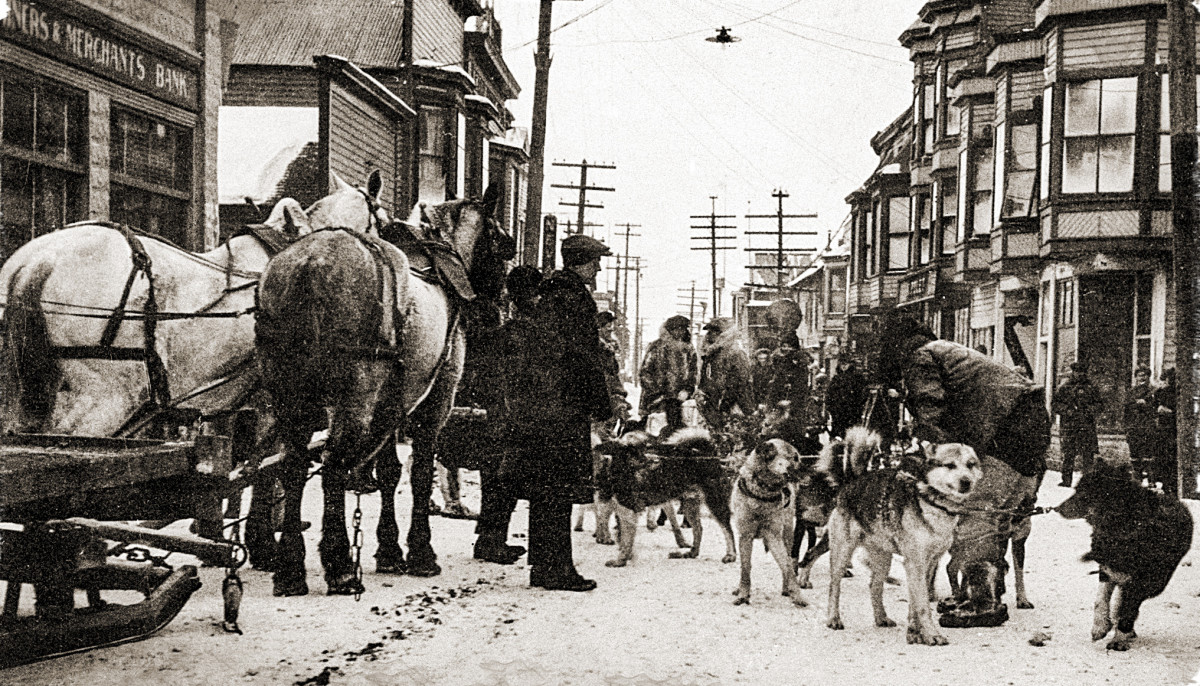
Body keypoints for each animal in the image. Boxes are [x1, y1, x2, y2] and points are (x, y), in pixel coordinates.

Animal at [258, 182, 511, 594]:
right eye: (504, 246)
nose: (497, 312)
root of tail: (309, 263)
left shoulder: (394, 402)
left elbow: (390, 471)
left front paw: (390, 550)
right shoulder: (437, 397)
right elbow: (421, 472)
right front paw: (421, 552)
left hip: (289, 397)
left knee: (293, 466)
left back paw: (290, 568)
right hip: (353, 397)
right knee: (332, 465)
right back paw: (340, 565)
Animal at [825, 441, 984, 647]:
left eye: (971, 465)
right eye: (950, 465)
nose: (966, 481)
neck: (932, 504)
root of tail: (851, 483)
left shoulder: (928, 564)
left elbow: (915, 604)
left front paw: (915, 633)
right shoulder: (915, 563)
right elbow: (922, 605)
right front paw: (931, 634)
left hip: (883, 561)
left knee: (874, 586)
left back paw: (881, 617)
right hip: (842, 554)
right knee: (834, 587)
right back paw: (833, 619)